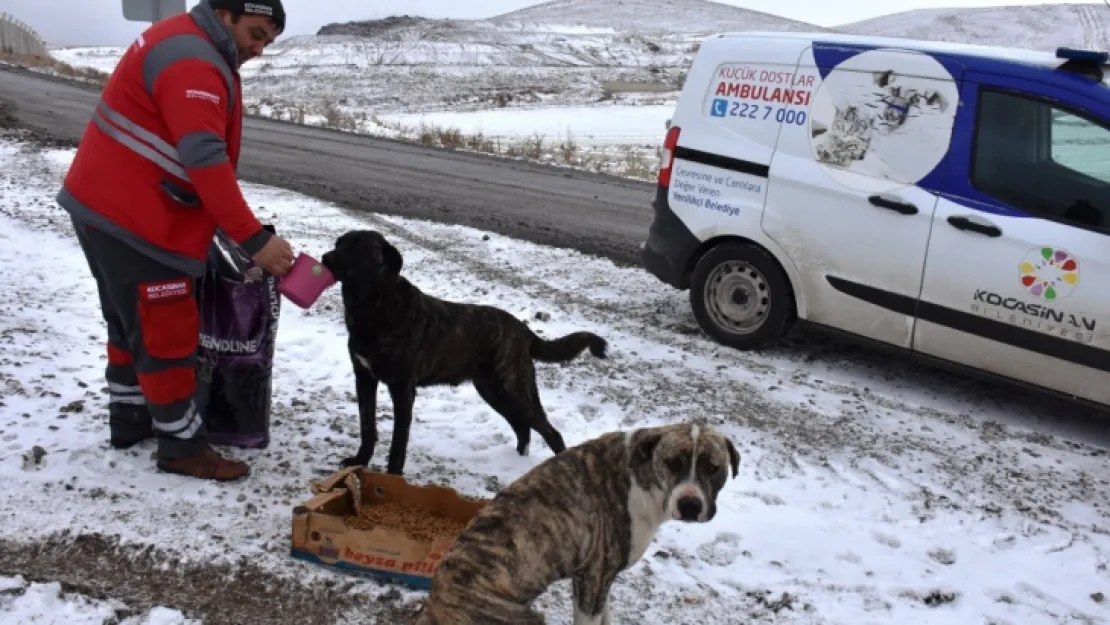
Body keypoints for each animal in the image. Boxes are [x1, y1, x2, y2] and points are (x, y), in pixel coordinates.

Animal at [321, 232, 612, 477]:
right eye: (339, 243)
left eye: (357, 246)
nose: (325, 258)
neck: (374, 306)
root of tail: (522, 330)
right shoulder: (364, 378)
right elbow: (367, 427)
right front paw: (359, 461)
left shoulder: (403, 389)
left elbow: (398, 442)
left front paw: (392, 477)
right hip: (493, 390)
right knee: (522, 428)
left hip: (515, 389)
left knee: (550, 433)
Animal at [412, 424, 741, 621]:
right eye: (672, 463)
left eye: (713, 468)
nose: (690, 504)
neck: (641, 477)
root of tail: (433, 608)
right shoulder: (593, 579)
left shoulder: (597, 580)